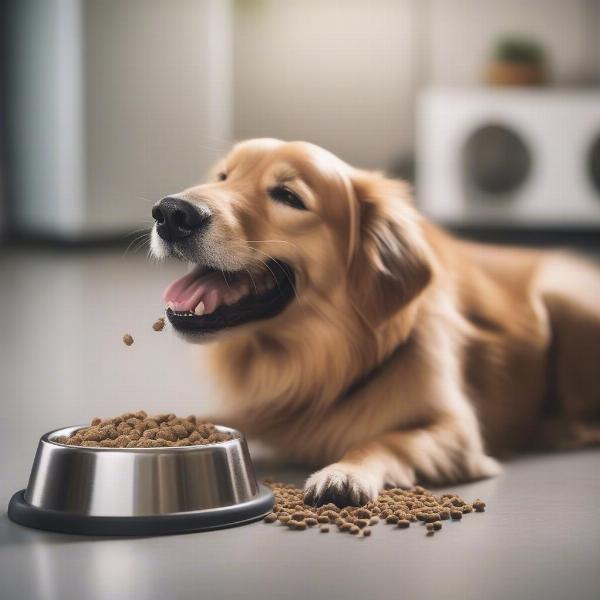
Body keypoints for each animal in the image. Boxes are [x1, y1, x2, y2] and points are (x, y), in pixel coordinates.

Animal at [150, 139, 600, 506]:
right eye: (223, 176)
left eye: (288, 196)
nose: (170, 212)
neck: (318, 365)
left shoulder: (456, 432)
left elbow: (383, 438)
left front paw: (343, 473)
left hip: (563, 299)